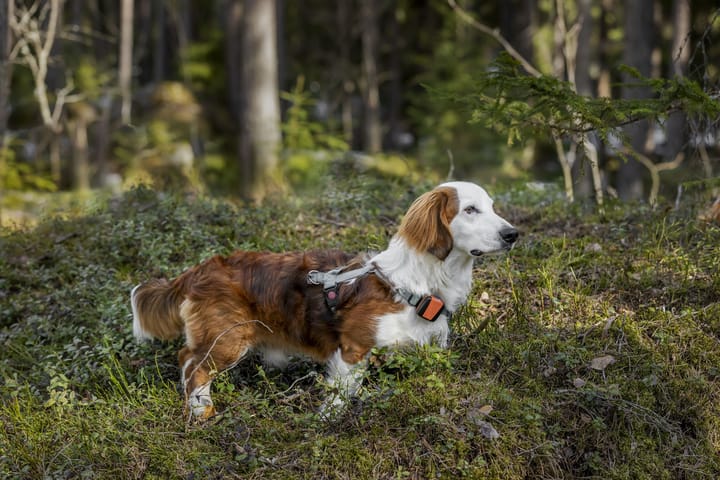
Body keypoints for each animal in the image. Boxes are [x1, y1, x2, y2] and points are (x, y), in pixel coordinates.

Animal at [131, 182, 516, 418]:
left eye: (493, 207)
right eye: (470, 210)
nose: (513, 233)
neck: (415, 285)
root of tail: (200, 269)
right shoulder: (353, 351)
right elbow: (340, 397)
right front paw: (327, 423)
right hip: (228, 339)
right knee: (192, 364)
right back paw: (201, 411)